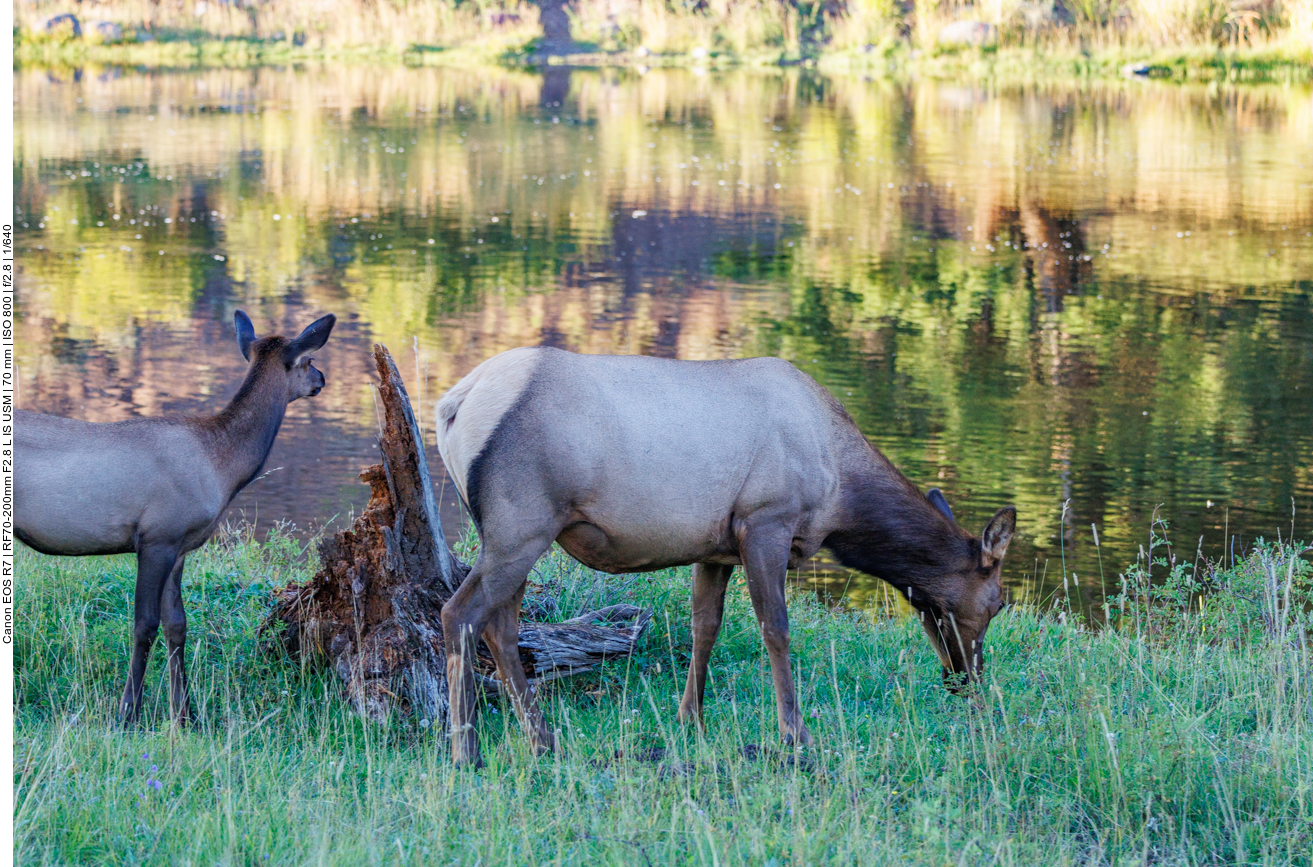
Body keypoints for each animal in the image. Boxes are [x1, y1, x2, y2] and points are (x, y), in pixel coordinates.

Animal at [16, 311, 333, 725]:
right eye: (308, 360)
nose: (322, 379)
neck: (221, 465)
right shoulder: (158, 536)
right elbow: (144, 625)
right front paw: (127, 713)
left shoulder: (180, 545)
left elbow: (177, 625)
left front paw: (185, 714)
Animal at [435, 344, 1018, 767]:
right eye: (998, 603)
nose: (967, 679)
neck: (840, 491)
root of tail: (451, 405)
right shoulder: (766, 519)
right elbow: (775, 628)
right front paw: (795, 733)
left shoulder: (715, 546)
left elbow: (705, 626)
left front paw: (690, 719)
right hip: (522, 523)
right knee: (460, 613)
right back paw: (466, 753)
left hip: (514, 532)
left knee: (501, 627)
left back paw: (542, 740)